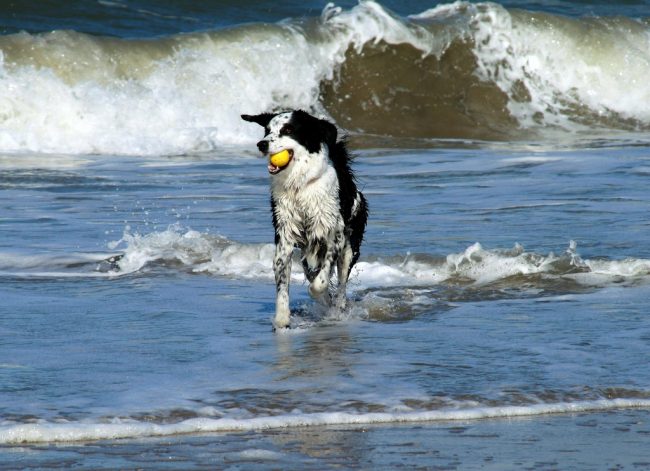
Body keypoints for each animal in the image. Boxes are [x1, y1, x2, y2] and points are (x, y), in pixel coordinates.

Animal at [240, 111, 368, 332]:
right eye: (267, 130)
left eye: (288, 129)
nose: (261, 144)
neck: (299, 186)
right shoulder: (285, 233)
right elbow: (282, 277)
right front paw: (282, 319)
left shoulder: (333, 233)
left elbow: (320, 281)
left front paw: (320, 295)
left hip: (350, 246)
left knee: (342, 280)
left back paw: (338, 308)